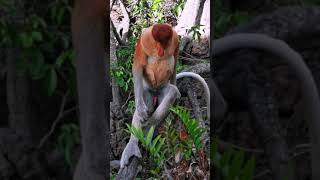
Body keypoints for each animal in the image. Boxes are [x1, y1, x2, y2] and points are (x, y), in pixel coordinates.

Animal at [120, 23, 210, 168]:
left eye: (164, 43)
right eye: (157, 43)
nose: (161, 51)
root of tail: (156, 91)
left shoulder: (175, 39)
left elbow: (175, 58)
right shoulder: (144, 39)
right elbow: (138, 65)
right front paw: (140, 109)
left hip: (162, 89)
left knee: (171, 92)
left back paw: (148, 127)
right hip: (148, 89)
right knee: (143, 96)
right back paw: (134, 142)